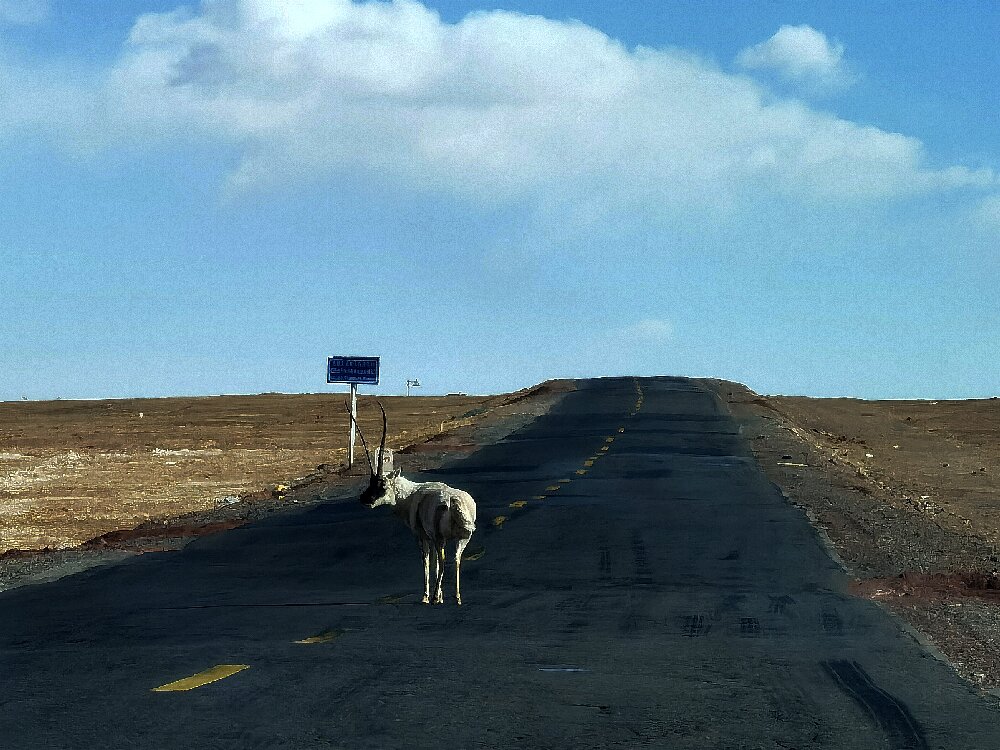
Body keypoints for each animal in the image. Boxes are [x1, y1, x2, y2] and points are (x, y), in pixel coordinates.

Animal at [350, 402, 478, 608]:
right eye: (371, 482)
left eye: (382, 485)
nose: (364, 499)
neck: (410, 494)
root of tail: (452, 501)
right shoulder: (432, 539)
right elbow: (435, 563)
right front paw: (440, 595)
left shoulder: (422, 537)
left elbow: (427, 562)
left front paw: (427, 596)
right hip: (461, 539)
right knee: (456, 559)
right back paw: (456, 597)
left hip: (440, 538)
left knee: (444, 560)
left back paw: (432, 598)